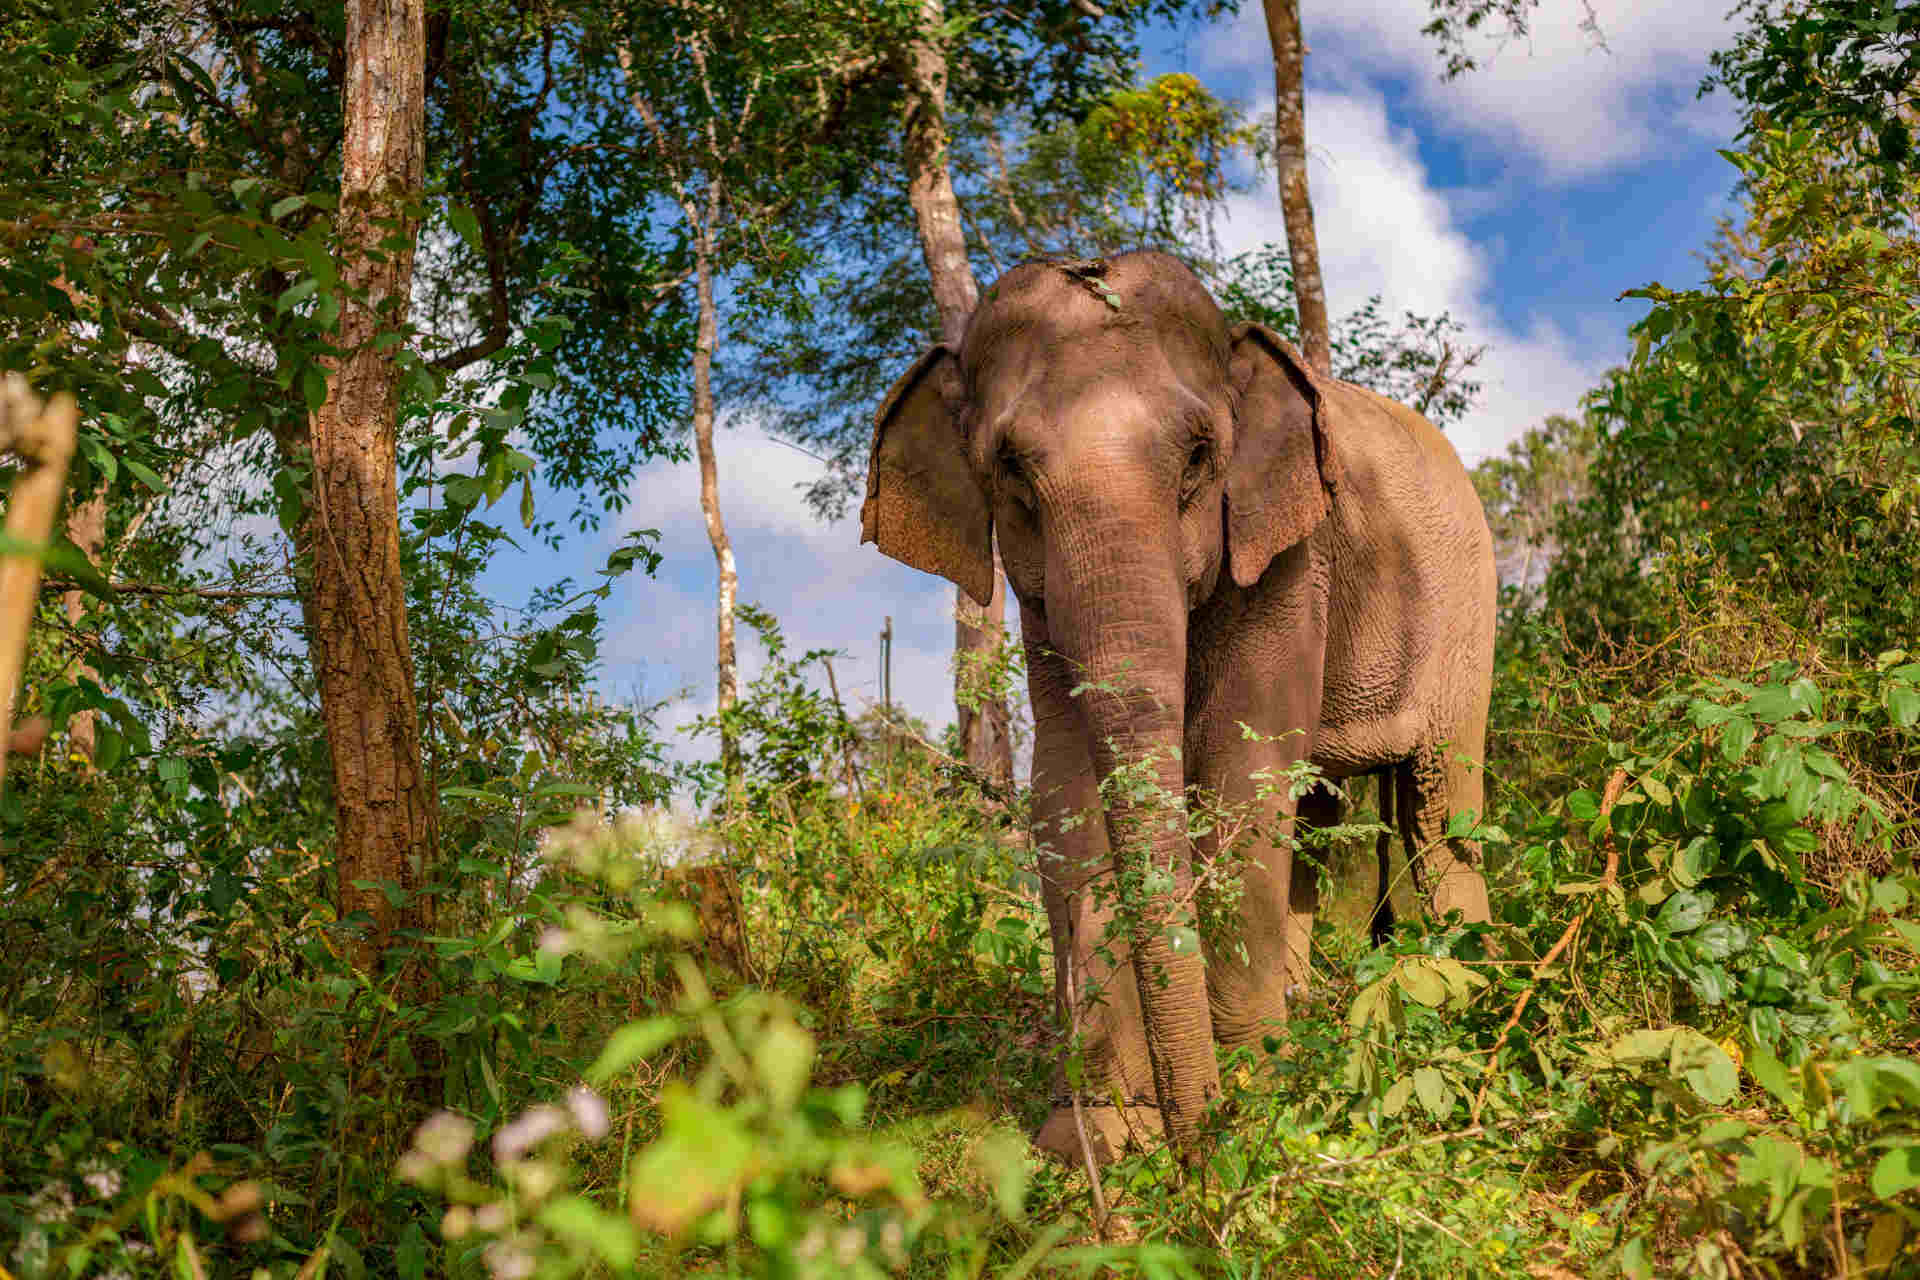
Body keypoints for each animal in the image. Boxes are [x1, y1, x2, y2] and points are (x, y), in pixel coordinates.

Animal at [860, 247, 1497, 1159]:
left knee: (1438, 811)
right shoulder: (1038, 604)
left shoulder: (1288, 559)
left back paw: (1467, 1016)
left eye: (1200, 457)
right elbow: (1065, 795)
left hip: (1463, 616)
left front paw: (1258, 1105)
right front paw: (1093, 1137)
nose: (1201, 1144)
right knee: (1314, 816)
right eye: (1009, 469)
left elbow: (1240, 774)